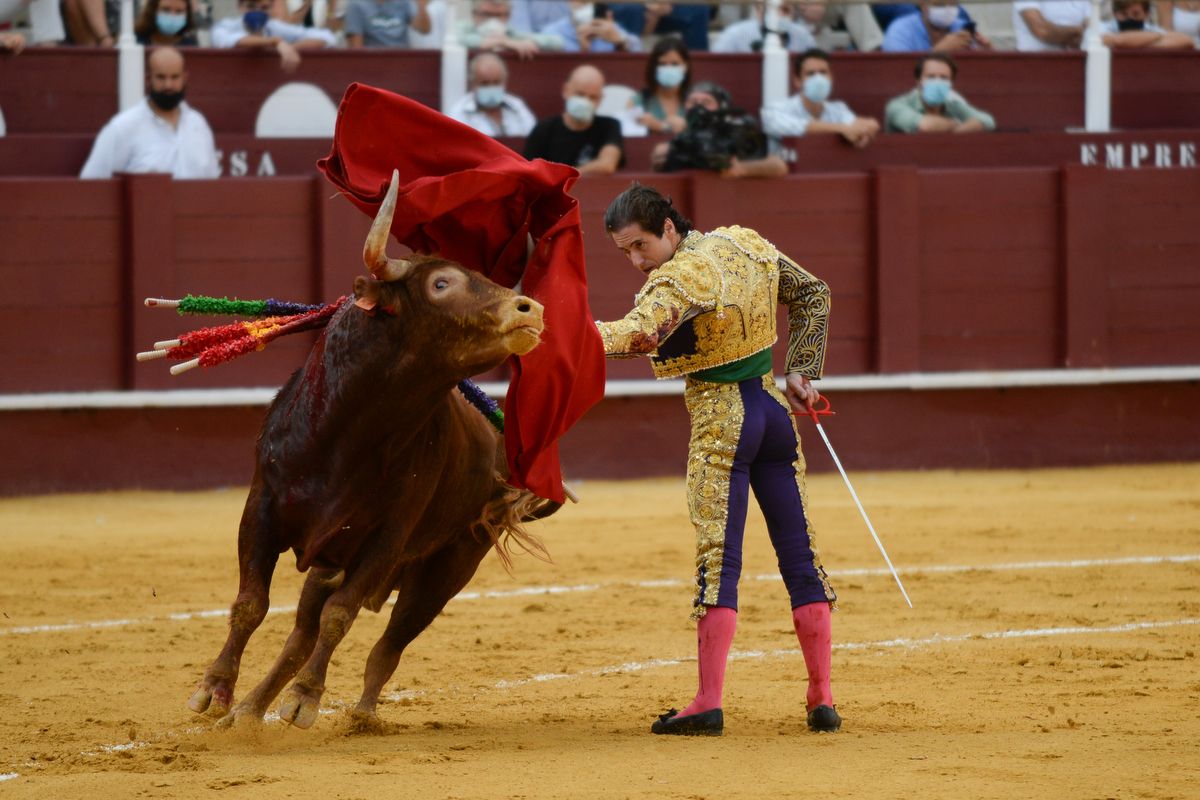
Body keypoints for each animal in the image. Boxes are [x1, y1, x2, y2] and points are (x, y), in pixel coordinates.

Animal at [187, 172, 556, 729]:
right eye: (441, 283)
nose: (529, 308)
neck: (348, 434)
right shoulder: (261, 511)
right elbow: (251, 604)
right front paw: (215, 691)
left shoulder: (386, 539)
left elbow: (341, 615)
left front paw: (305, 698)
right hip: (331, 563)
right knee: (300, 635)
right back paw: (249, 711)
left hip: (449, 565)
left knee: (387, 642)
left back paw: (358, 715)